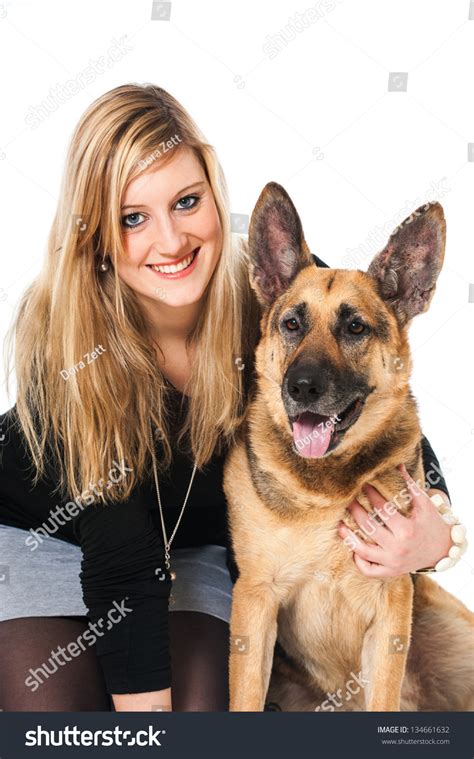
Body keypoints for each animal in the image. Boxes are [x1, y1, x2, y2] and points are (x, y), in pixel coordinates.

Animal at [225, 184, 474, 712]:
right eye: (292, 324)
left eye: (355, 328)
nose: (301, 387)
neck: (326, 487)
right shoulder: (255, 601)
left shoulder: (392, 607)